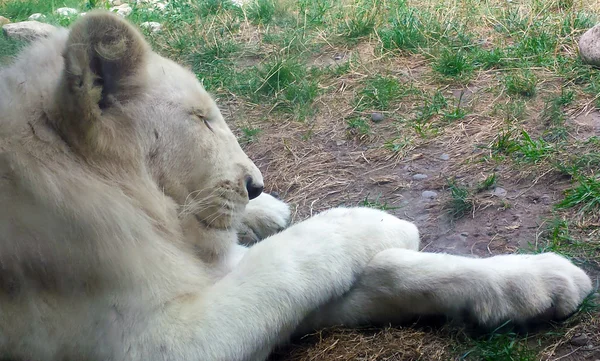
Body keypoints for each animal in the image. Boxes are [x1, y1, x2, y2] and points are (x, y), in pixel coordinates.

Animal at [0, 10, 592, 360]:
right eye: (201, 119)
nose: (255, 185)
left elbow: (385, 274)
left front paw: (536, 281)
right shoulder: (152, 341)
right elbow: (294, 256)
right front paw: (373, 220)